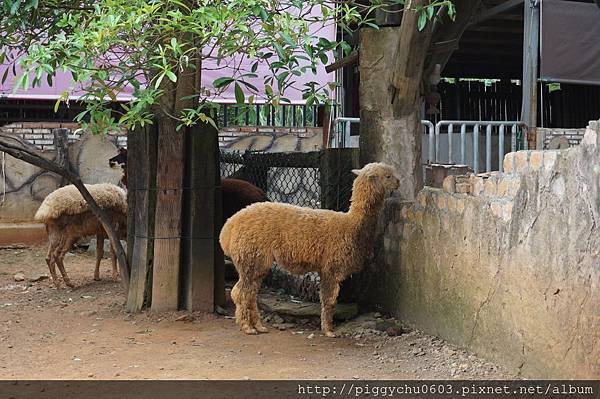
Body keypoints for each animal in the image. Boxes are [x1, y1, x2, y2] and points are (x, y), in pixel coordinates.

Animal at [219, 162, 398, 338]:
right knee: (240, 292)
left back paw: (258, 326)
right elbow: (329, 300)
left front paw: (326, 328)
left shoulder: (325, 268)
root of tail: (229, 227)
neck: (350, 225)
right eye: (388, 176)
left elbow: (326, 299)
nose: (398, 183)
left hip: (256, 261)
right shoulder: (331, 267)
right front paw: (329, 331)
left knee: (250, 293)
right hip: (250, 256)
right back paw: (247, 327)